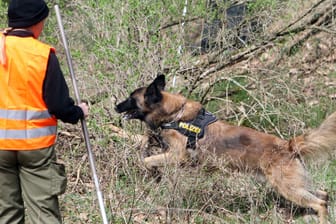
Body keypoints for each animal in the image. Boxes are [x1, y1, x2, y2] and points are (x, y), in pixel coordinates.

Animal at [115, 74, 336, 223]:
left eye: (131, 99)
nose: (116, 106)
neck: (174, 114)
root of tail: (288, 145)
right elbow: (139, 142)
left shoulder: (178, 156)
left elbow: (147, 160)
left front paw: (151, 171)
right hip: (296, 185)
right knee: (323, 196)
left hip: (288, 188)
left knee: (320, 203)